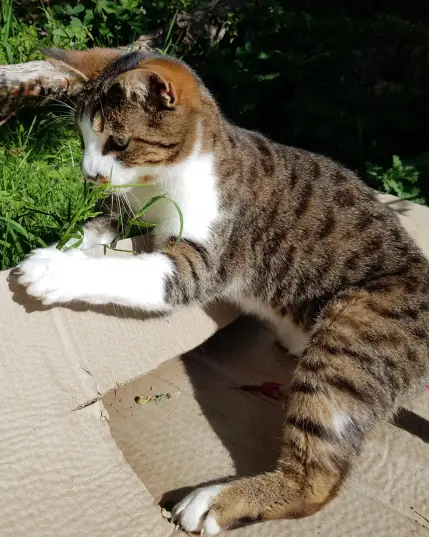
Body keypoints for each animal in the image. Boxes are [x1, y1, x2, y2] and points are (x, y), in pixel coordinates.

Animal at [16, 48, 428, 532]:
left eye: (117, 142)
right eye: (81, 138)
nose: (88, 176)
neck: (165, 181)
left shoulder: (204, 258)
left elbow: (132, 270)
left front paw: (53, 268)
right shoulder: (130, 212)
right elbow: (98, 227)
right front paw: (65, 245)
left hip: (350, 338)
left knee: (318, 480)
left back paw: (215, 501)